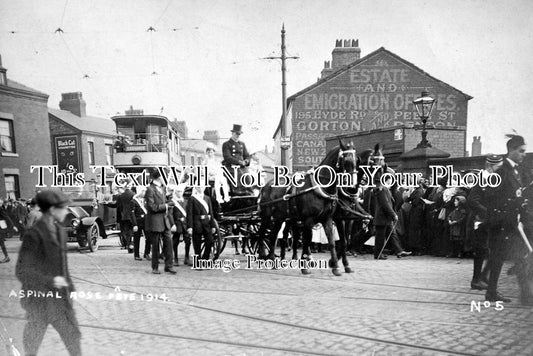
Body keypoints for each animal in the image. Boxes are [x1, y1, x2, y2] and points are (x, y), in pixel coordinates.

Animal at [258, 140, 358, 276]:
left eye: (357, 160)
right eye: (346, 159)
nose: (352, 186)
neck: (320, 187)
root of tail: (265, 186)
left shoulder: (328, 219)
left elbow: (332, 242)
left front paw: (336, 267)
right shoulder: (309, 220)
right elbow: (307, 241)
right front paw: (305, 266)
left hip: (281, 218)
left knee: (274, 235)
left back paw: (273, 260)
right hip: (267, 216)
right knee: (262, 233)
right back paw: (263, 255)